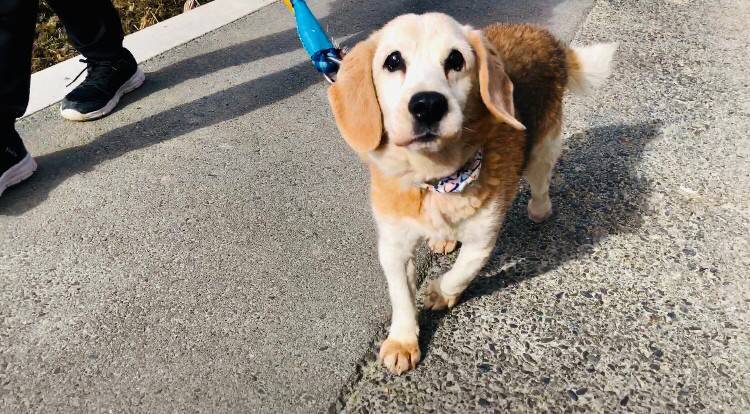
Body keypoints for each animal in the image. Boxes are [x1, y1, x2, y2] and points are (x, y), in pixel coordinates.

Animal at [328, 13, 616, 374]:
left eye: (456, 60)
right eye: (393, 61)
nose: (427, 104)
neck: (437, 178)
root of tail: (542, 35)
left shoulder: (483, 239)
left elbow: (461, 272)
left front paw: (439, 293)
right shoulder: (393, 246)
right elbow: (401, 296)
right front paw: (403, 340)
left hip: (542, 150)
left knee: (541, 184)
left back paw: (539, 209)